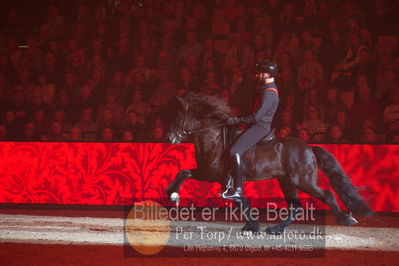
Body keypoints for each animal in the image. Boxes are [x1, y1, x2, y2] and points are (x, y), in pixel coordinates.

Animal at [166, 92, 376, 234]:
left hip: (302, 181)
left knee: (327, 195)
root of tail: (309, 148)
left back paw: (346, 219)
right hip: (287, 182)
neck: (214, 138)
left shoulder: (215, 175)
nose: (169, 138)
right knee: (296, 207)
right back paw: (276, 229)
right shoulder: (212, 174)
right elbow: (184, 172)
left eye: (179, 118)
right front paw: (173, 194)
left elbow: (238, 200)